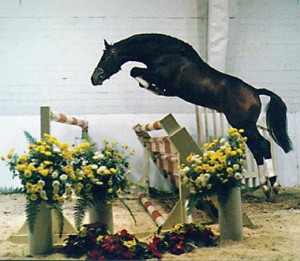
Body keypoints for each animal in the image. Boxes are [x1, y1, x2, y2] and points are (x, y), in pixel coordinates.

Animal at [90, 33, 292, 197]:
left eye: (106, 57)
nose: (94, 79)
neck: (164, 53)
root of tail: (255, 92)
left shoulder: (159, 76)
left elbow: (135, 71)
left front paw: (153, 88)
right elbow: (136, 73)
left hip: (244, 124)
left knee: (262, 145)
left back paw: (273, 184)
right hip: (242, 126)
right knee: (257, 149)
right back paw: (266, 186)